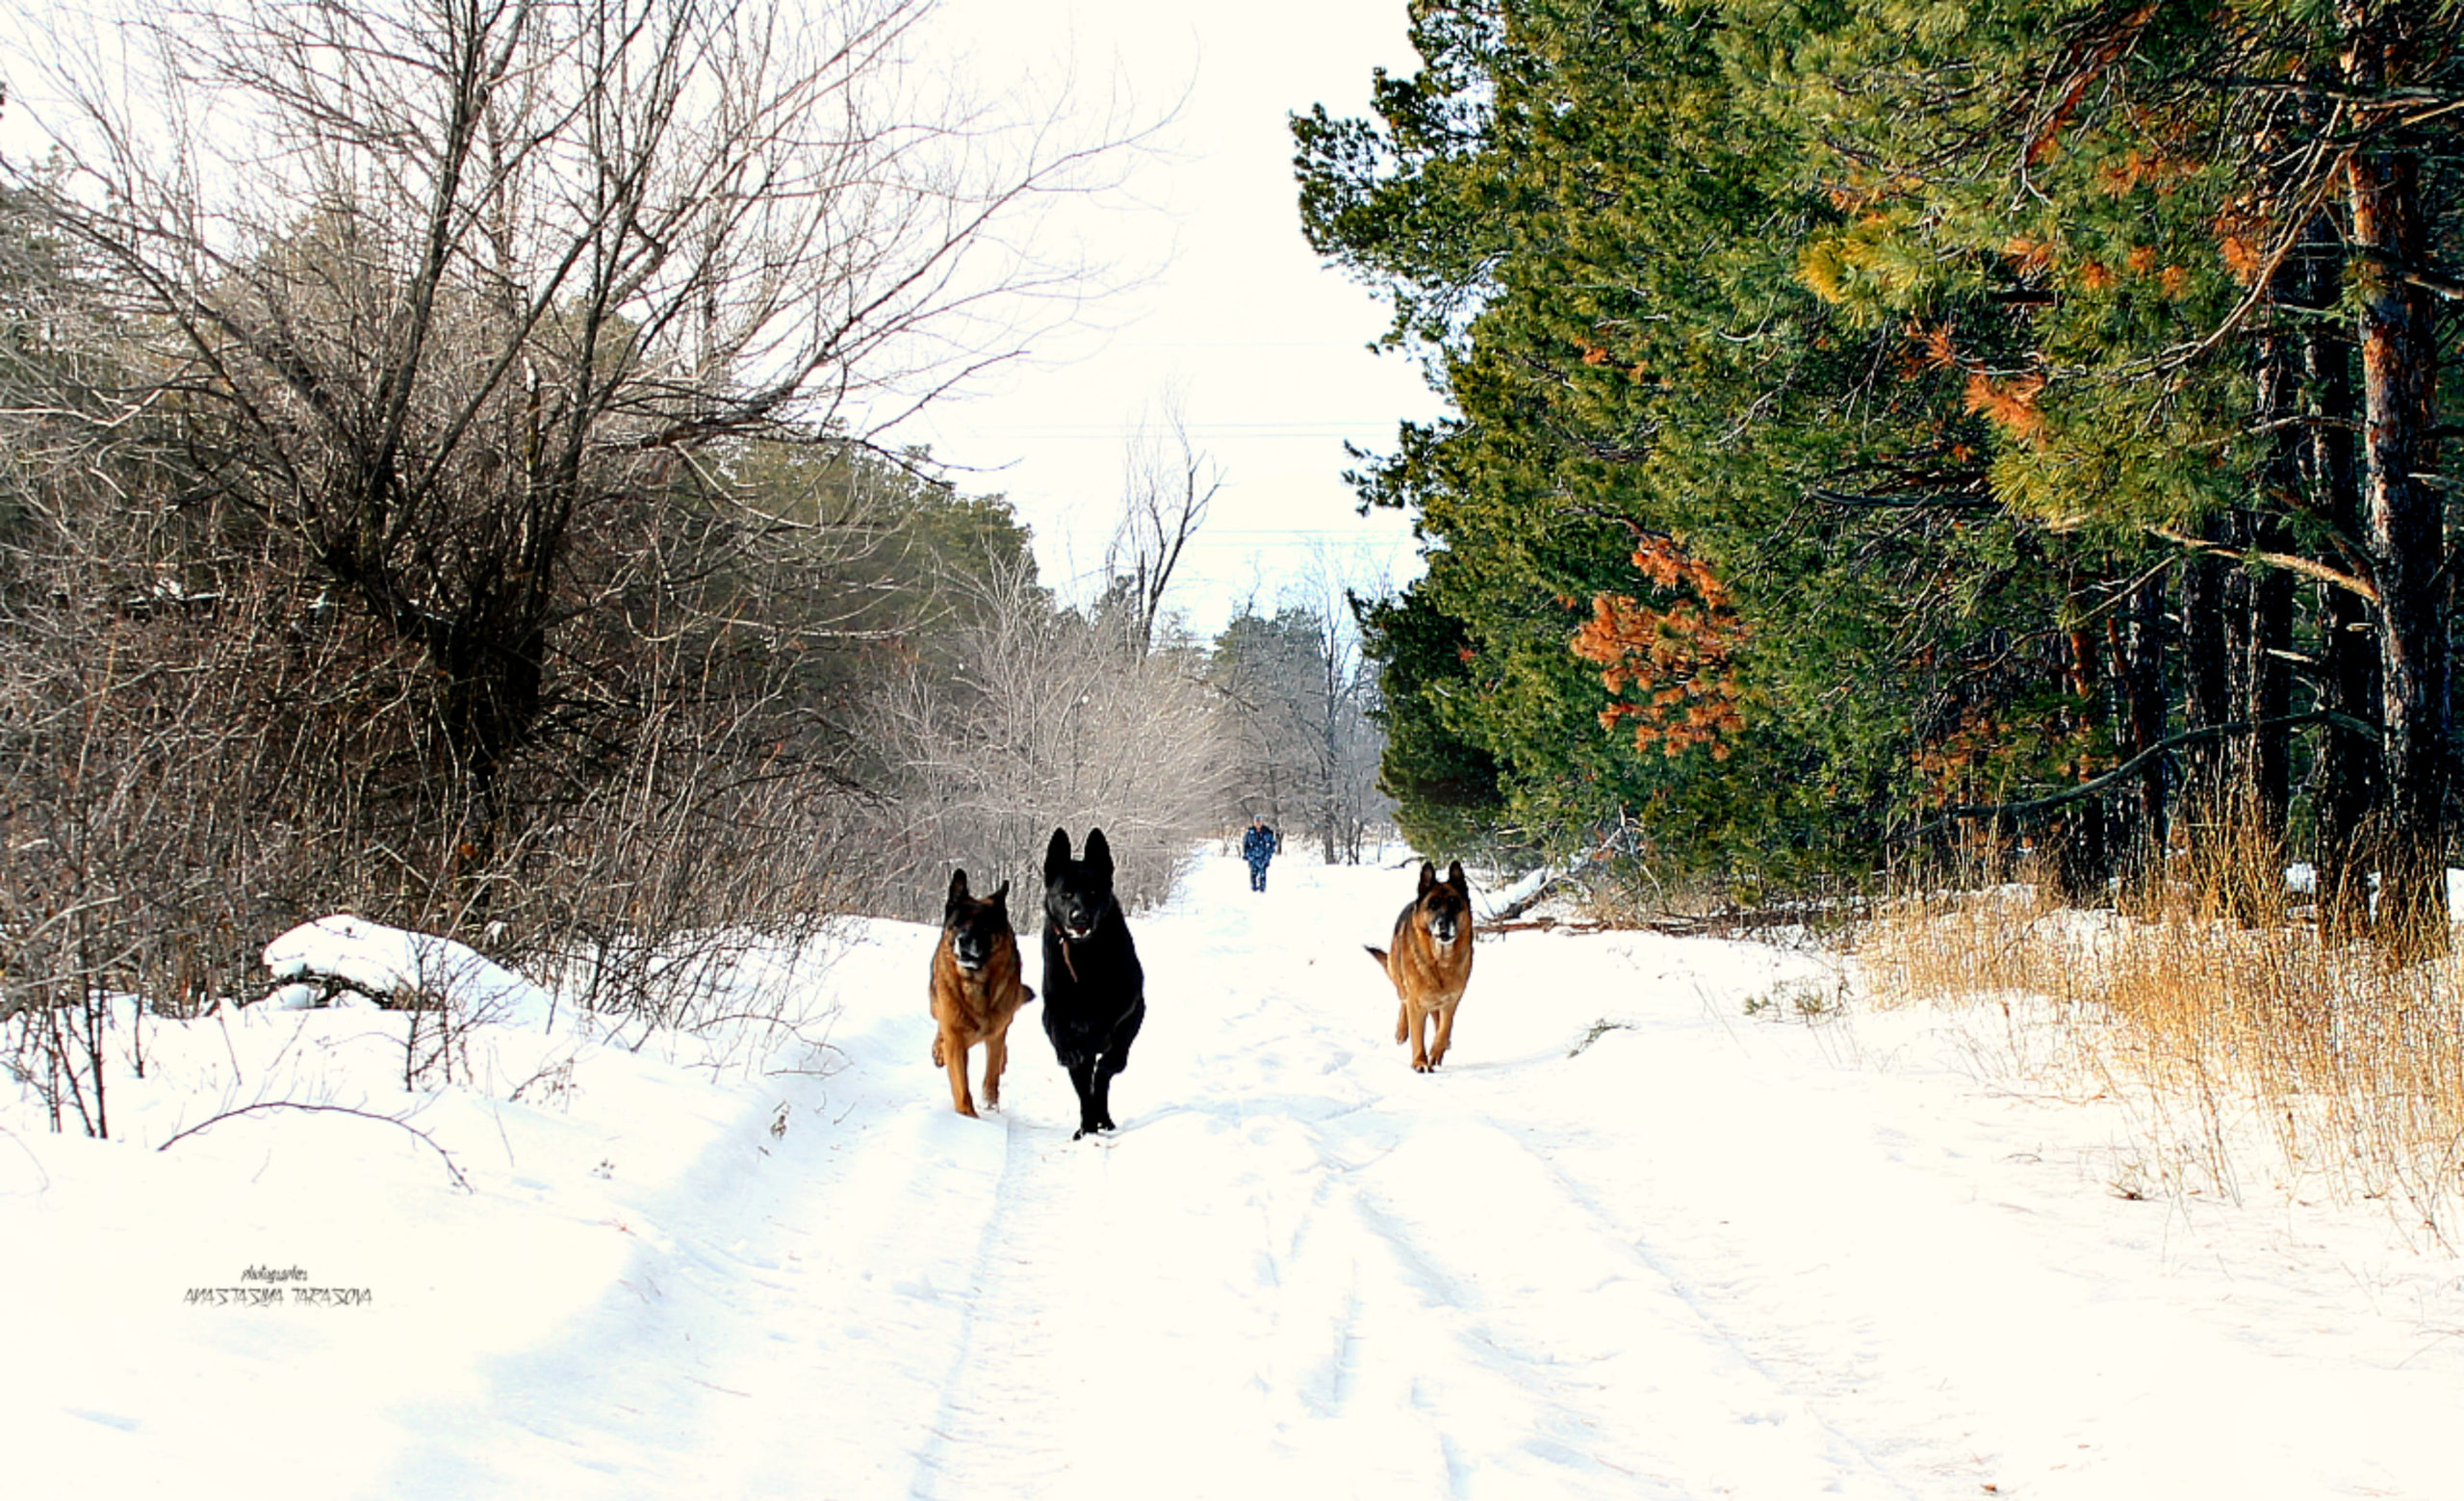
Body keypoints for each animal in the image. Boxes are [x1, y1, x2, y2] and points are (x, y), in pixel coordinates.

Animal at [931, 867, 1030, 1114]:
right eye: (957, 924)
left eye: (984, 926)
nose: (964, 940)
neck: (974, 982)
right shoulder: (955, 1037)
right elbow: (962, 1088)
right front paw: (967, 1115)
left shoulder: (996, 1033)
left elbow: (992, 1074)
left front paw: (989, 1105)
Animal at [1044, 817, 1147, 1133]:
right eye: (1065, 894)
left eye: (1092, 892)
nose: (1079, 918)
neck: (1084, 954)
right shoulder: (1052, 1006)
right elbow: (1060, 1027)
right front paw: (1069, 1047)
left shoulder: (1131, 1001)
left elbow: (1109, 1023)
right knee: (1085, 1087)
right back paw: (1087, 1126)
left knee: (1104, 1074)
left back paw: (1102, 1118)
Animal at [1379, 862, 1468, 1070]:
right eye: (1433, 905)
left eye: (1454, 903)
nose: (1443, 924)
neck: (1439, 961)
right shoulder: (1416, 1003)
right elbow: (1417, 1034)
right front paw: (1420, 1061)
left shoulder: (1452, 1000)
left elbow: (1444, 1028)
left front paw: (1436, 1051)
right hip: (1400, 978)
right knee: (1403, 1000)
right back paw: (1401, 1030)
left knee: (1436, 1017)